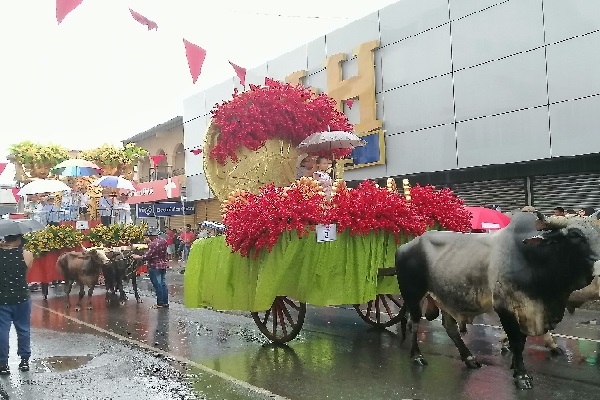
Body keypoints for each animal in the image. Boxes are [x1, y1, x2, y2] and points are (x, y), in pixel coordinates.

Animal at [396, 214, 600, 390]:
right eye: (575, 236)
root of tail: (406, 245)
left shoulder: (527, 310)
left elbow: (521, 341)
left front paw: (515, 367)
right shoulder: (506, 307)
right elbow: (516, 341)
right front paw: (521, 376)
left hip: (445, 297)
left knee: (450, 327)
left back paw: (469, 359)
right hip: (413, 295)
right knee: (414, 323)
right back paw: (417, 356)